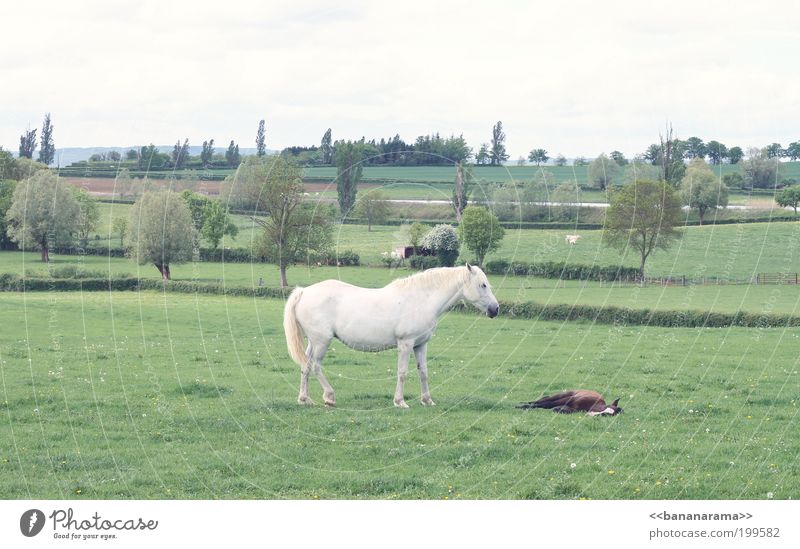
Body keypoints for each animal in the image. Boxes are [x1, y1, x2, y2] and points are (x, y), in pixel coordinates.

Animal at [282, 266, 494, 406]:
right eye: (483, 285)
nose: (495, 309)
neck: (422, 299)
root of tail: (304, 291)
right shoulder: (406, 344)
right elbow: (402, 373)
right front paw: (400, 401)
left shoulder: (421, 345)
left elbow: (423, 372)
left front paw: (427, 400)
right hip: (322, 342)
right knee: (316, 366)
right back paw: (329, 397)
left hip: (313, 342)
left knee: (305, 366)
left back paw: (304, 399)